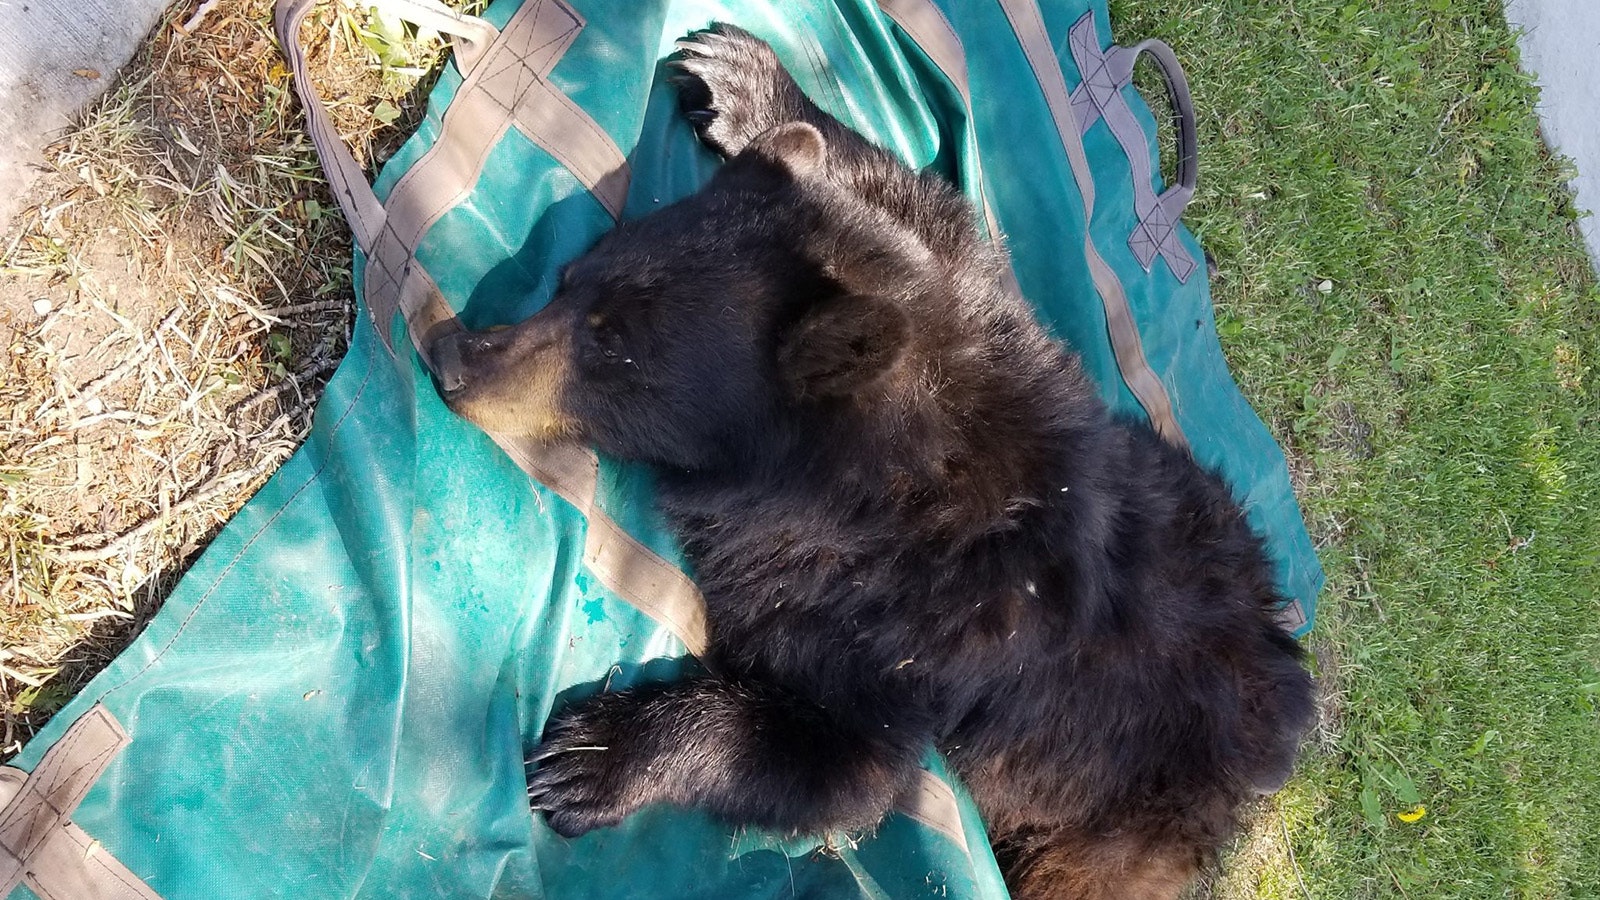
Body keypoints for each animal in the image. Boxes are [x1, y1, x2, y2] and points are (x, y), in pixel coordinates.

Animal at [429, 23, 1315, 900]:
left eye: (613, 349)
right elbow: (920, 208)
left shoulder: (896, 622)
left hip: (1121, 819)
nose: (451, 357)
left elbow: (843, 760)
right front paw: (747, 81)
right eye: (569, 281)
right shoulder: (964, 302)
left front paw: (594, 757)